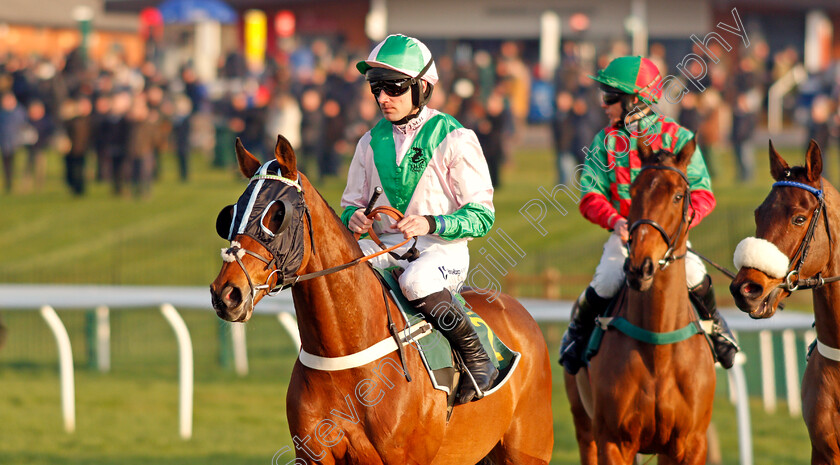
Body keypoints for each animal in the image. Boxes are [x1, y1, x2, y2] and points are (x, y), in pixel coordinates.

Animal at [209, 136, 556, 462]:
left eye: (277, 214)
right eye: (231, 213)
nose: (226, 293)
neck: (344, 357)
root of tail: (518, 309)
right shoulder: (313, 454)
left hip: (528, 449)